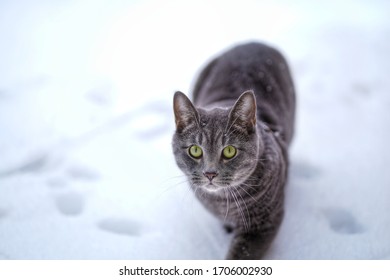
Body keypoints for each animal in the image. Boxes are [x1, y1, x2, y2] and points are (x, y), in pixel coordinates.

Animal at [172, 42, 294, 260]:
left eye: (229, 151)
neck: (221, 202)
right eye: (195, 150)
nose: (210, 173)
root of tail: (253, 42)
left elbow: (240, 255)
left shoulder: (263, 222)